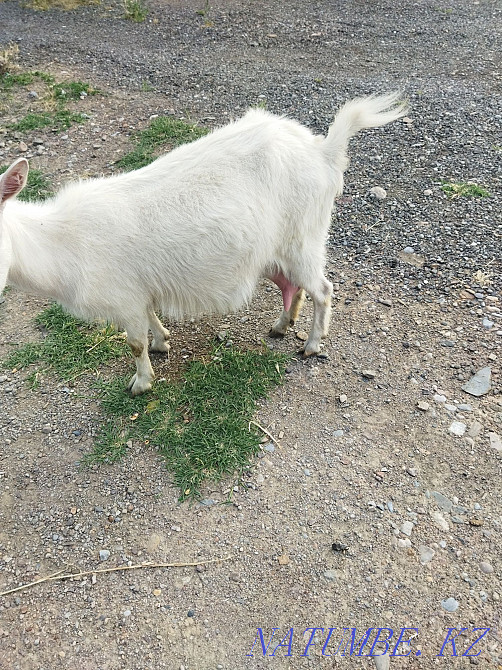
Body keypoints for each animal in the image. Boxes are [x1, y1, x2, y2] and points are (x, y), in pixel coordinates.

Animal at [0, 93, 407, 394]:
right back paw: (281, 325)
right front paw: (163, 341)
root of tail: (324, 151)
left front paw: (141, 383)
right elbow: (151, 318)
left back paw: (311, 345)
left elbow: (134, 343)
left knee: (322, 289)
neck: (62, 242)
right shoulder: (139, 293)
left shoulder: (124, 298)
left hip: (304, 237)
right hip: (281, 250)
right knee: (296, 286)